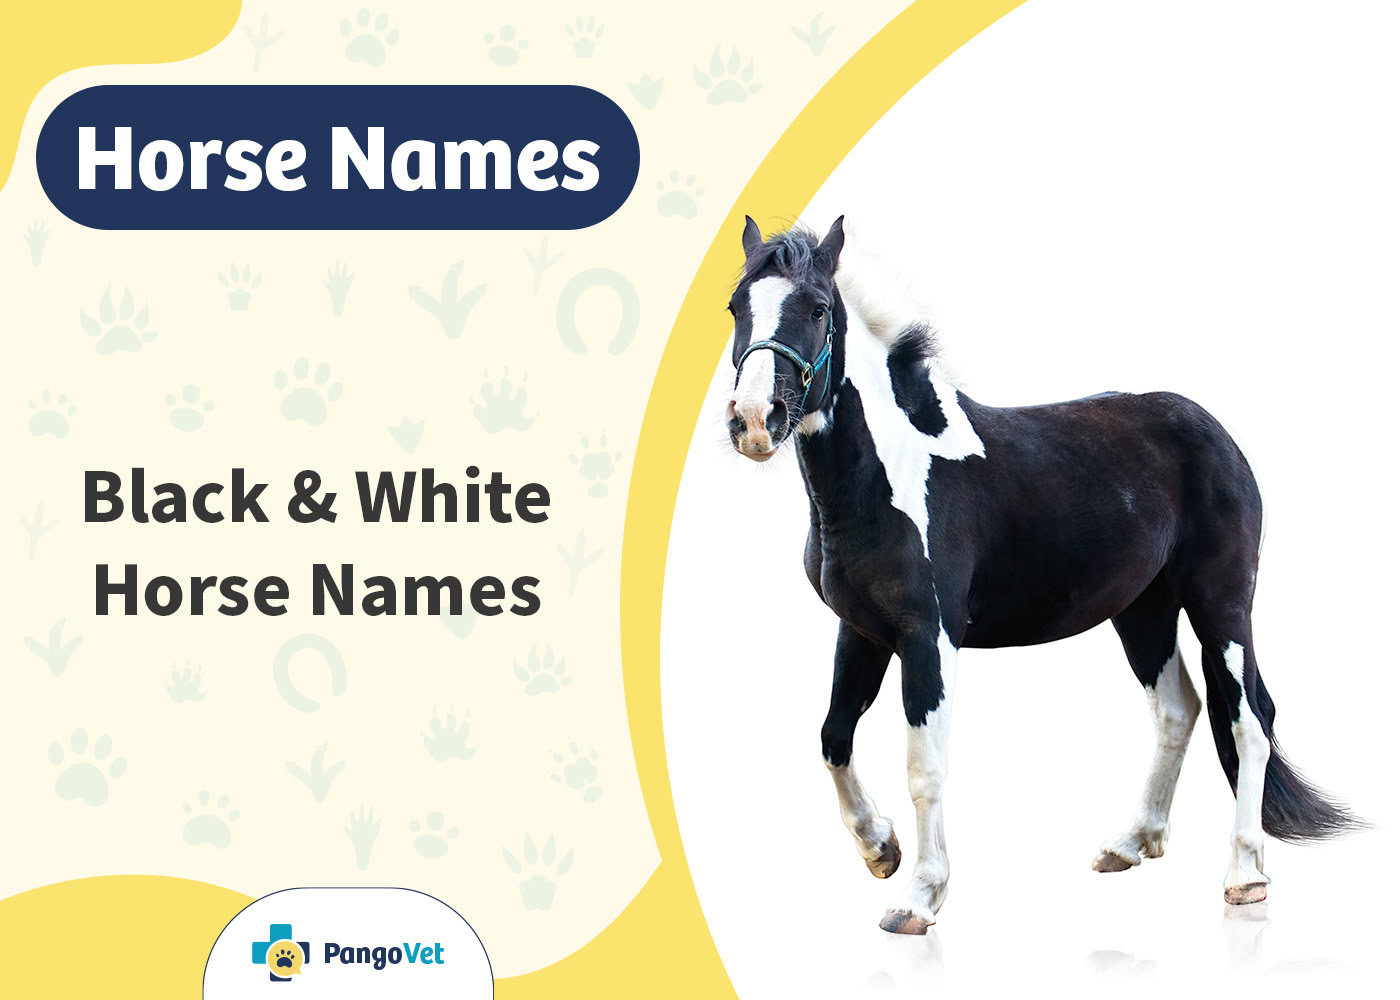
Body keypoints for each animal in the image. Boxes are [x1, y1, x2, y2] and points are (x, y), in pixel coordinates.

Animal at [722, 215, 1357, 934]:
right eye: (737, 307)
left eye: (818, 309)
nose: (753, 421)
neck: (894, 470)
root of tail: (1214, 432)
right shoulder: (861, 631)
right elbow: (834, 737)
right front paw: (880, 848)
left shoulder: (927, 637)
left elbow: (925, 765)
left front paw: (918, 897)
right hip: (1143, 612)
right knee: (1179, 710)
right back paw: (1130, 843)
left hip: (1221, 604)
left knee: (1249, 718)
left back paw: (1245, 874)